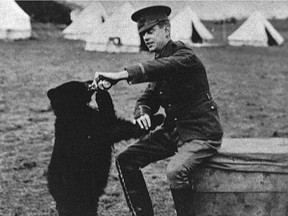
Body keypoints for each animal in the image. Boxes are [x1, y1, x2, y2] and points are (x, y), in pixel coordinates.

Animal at [47, 81, 164, 216]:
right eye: (79, 85)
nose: (89, 82)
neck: (72, 112)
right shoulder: (91, 127)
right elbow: (114, 126)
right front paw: (158, 117)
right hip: (80, 191)